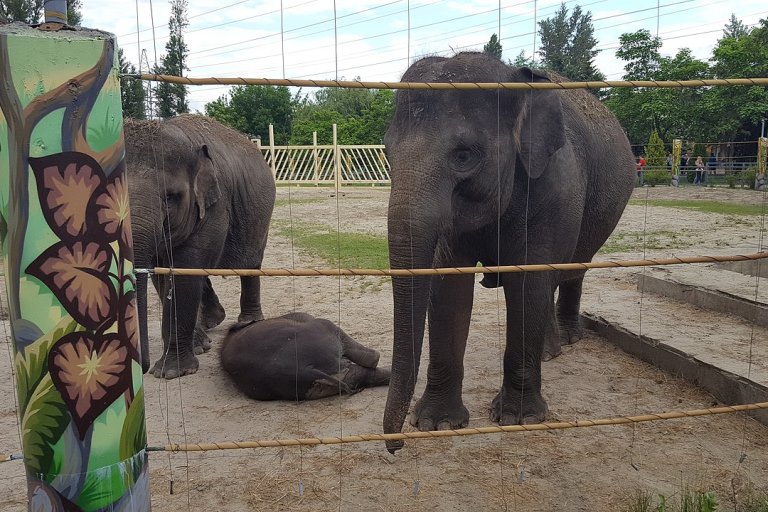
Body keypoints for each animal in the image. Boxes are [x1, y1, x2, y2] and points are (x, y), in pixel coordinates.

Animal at [127, 116, 278, 380]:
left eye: (170, 197)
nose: (142, 369)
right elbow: (163, 271)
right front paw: (196, 347)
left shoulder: (215, 206)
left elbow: (185, 267)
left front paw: (171, 372)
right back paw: (211, 324)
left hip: (260, 217)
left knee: (250, 265)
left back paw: (247, 323)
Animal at [380, 52, 632, 452]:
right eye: (387, 152)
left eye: (464, 155)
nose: (396, 444)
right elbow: (448, 289)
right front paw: (438, 423)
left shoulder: (553, 190)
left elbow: (526, 283)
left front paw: (519, 418)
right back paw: (549, 351)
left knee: (571, 270)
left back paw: (566, 341)